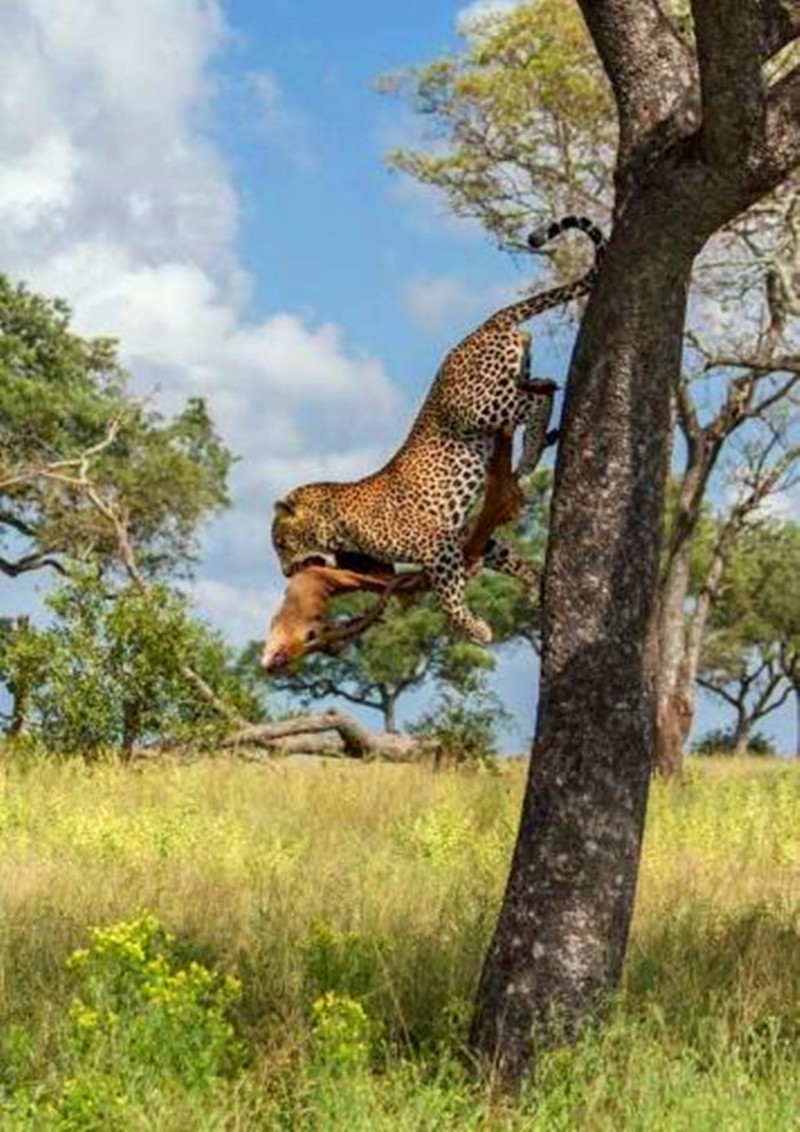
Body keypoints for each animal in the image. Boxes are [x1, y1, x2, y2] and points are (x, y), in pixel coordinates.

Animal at [272, 216, 601, 647]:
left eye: (280, 543)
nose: (284, 572)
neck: (336, 522)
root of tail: (483, 326)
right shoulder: (460, 538)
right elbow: (507, 558)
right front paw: (535, 584)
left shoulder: (436, 545)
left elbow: (448, 597)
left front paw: (475, 629)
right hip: (506, 383)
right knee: (544, 385)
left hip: (477, 407)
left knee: (537, 401)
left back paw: (530, 454)